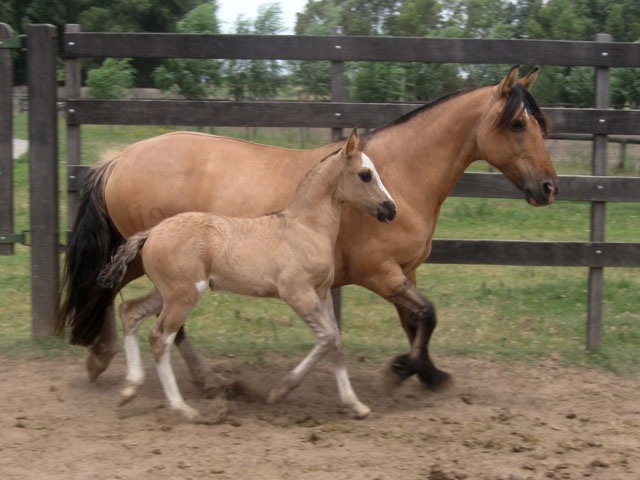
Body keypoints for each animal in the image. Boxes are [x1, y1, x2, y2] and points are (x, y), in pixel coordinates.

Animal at [99, 129, 396, 418]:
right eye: (365, 174)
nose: (390, 209)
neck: (305, 228)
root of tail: (151, 233)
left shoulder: (322, 295)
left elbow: (336, 343)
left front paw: (356, 405)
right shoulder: (297, 293)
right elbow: (327, 338)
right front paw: (280, 391)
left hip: (167, 293)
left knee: (130, 311)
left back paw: (130, 389)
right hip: (183, 295)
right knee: (160, 337)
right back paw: (181, 407)